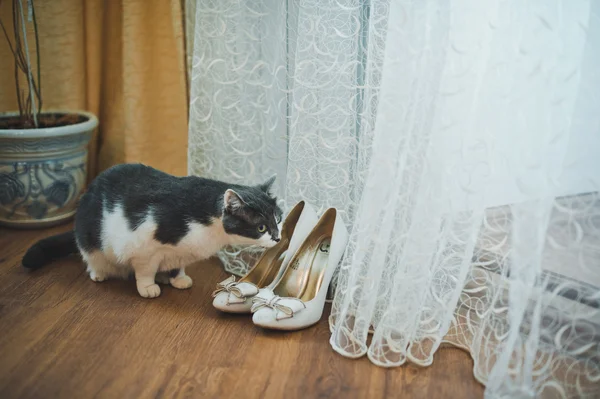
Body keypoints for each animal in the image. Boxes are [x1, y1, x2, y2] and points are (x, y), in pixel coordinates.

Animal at [22, 162, 284, 296]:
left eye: (279, 218)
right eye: (261, 227)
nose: (278, 238)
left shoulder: (181, 251)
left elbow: (178, 263)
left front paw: (178, 278)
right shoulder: (143, 246)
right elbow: (145, 269)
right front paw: (148, 287)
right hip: (90, 236)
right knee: (90, 254)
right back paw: (99, 272)